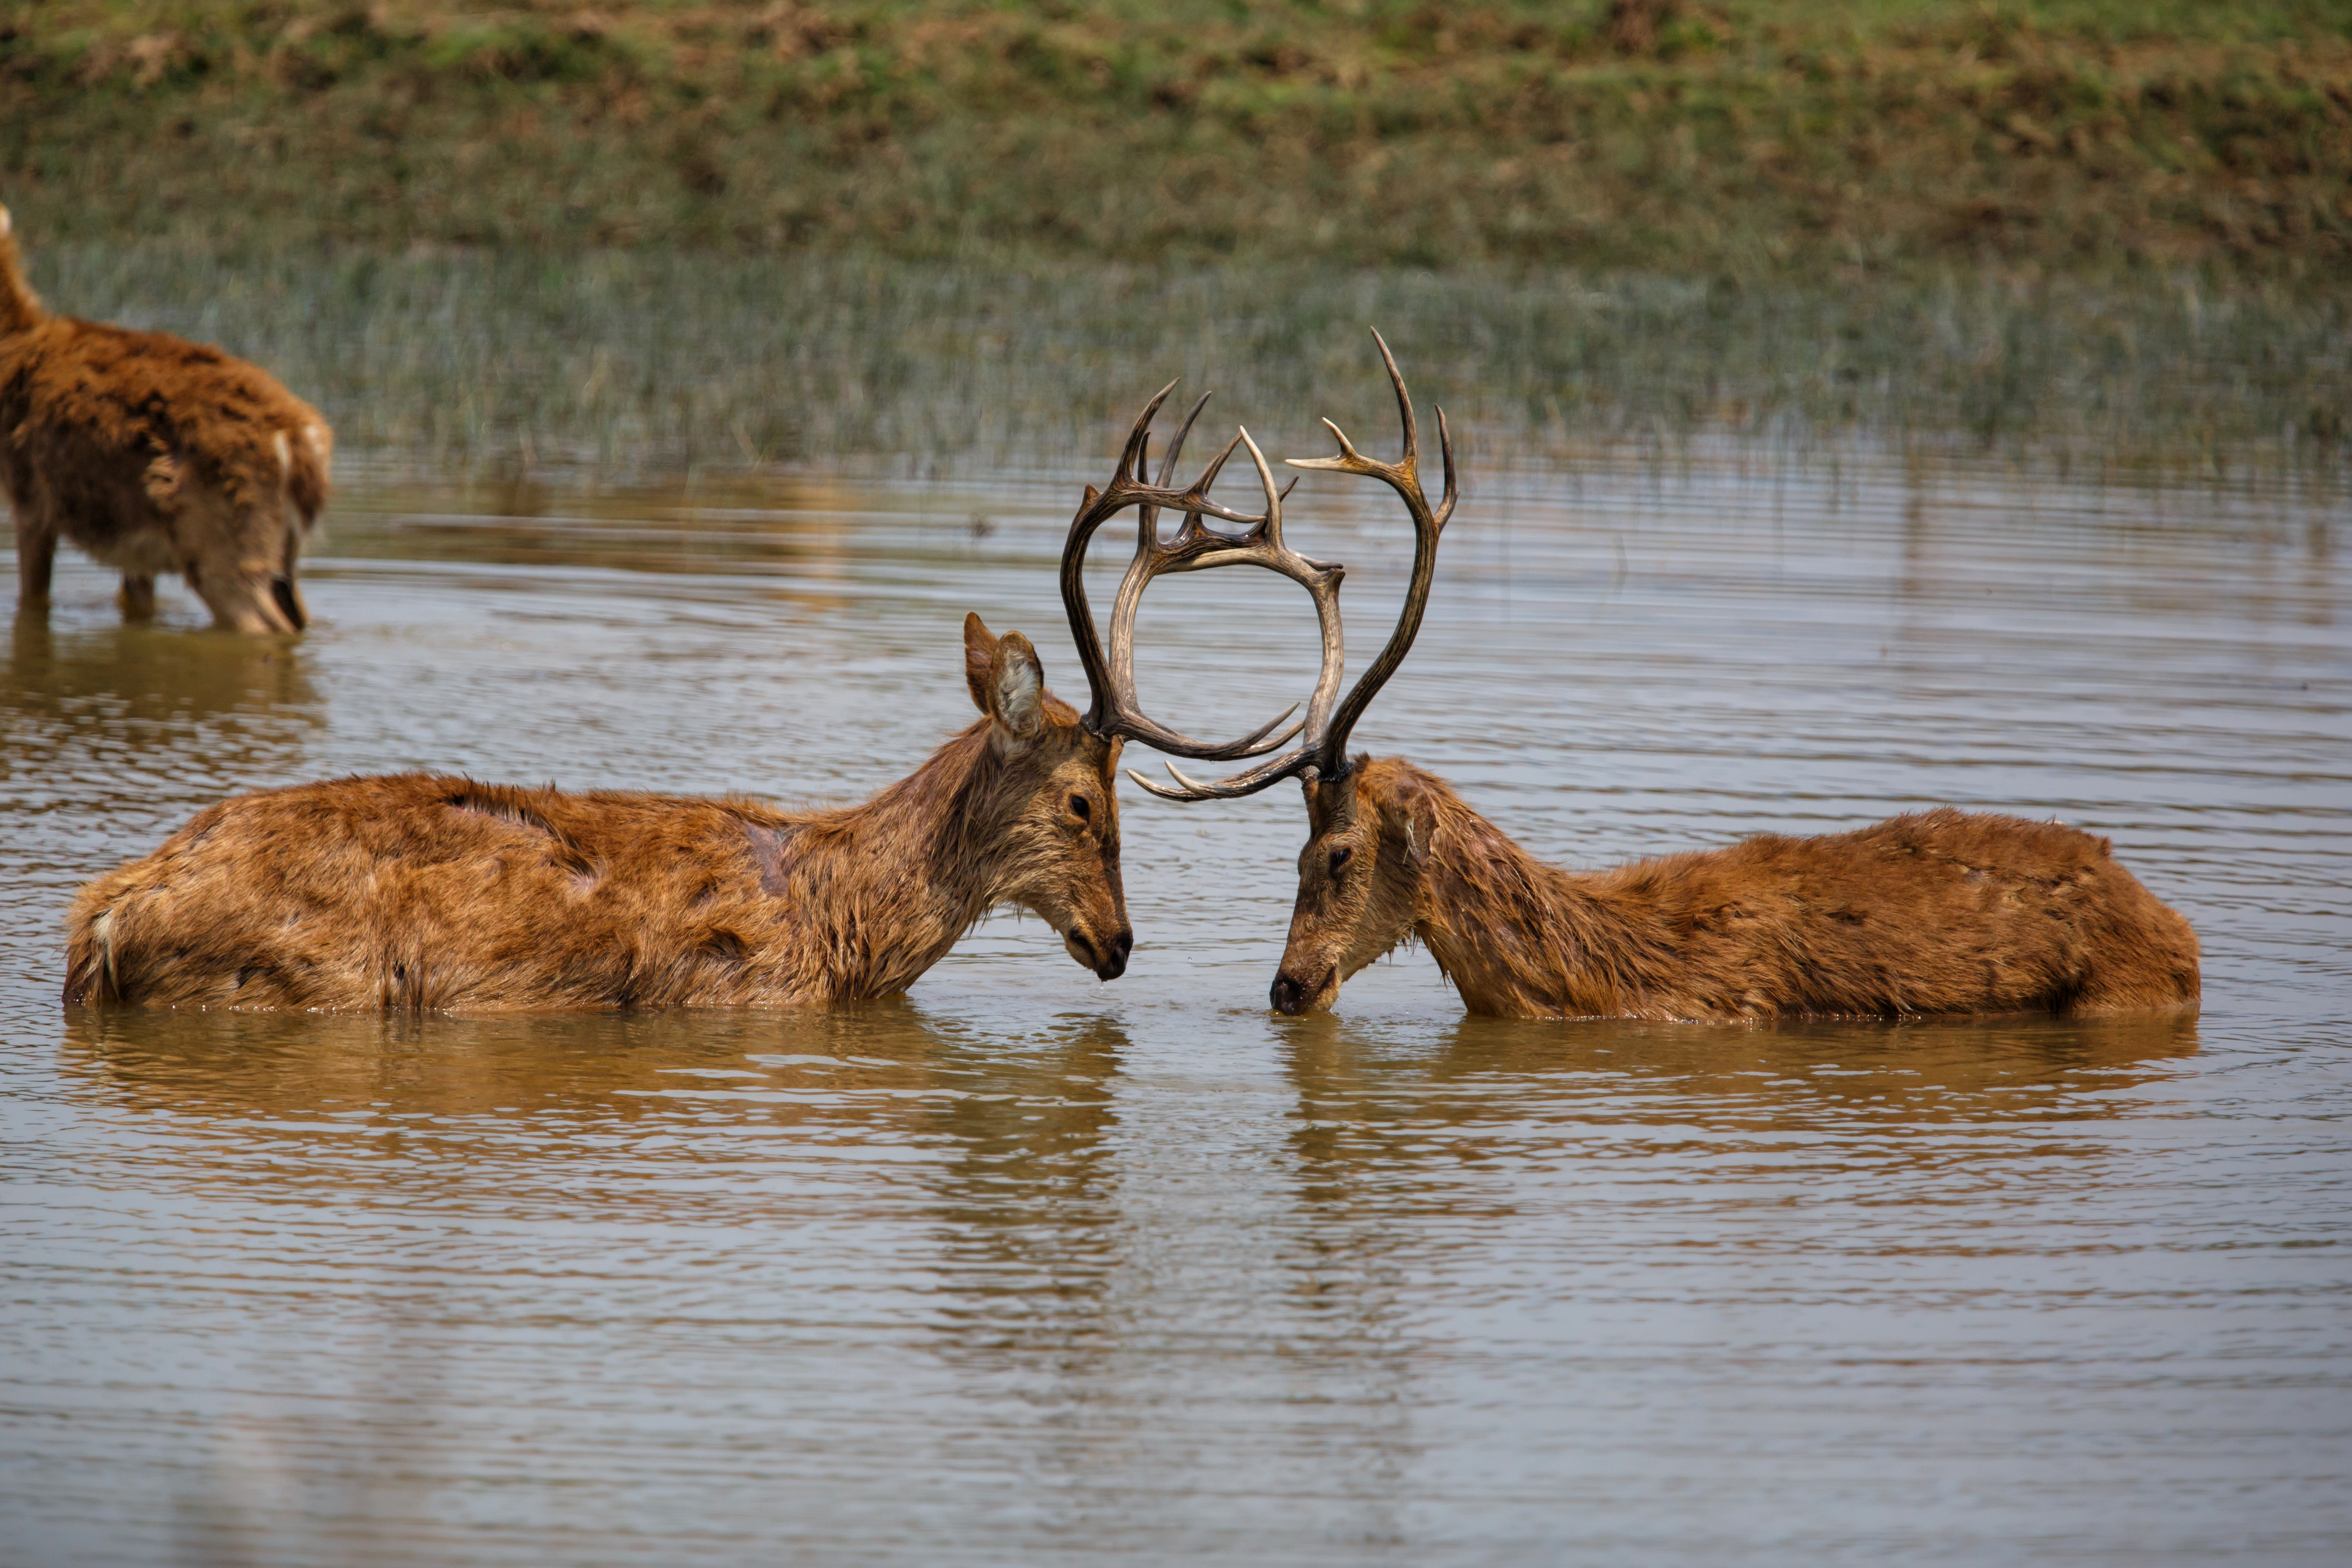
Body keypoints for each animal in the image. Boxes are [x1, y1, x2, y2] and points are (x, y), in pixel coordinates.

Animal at [0, 202, 331, 634]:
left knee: (265, 624)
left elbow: (32, 599)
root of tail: (299, 439)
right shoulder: (135, 546)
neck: (14, 341)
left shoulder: (30, 498)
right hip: (282, 550)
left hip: (220, 539)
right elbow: (137, 605)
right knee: (299, 616)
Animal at [63, 379, 1306, 1012]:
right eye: (1085, 805)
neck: (846, 921)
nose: (1120, 942)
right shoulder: (742, 997)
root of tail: (107, 915)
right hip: (293, 979)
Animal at [1119, 331, 2203, 1023]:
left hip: (2122, 991)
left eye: (1336, 854)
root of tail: (2174, 927)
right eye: (1292, 855)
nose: (1286, 988)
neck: (1609, 977)